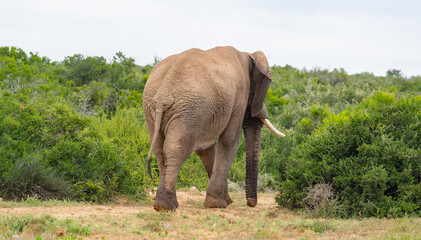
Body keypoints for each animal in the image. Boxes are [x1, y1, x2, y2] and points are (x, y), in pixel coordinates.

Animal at [143, 46, 284, 211]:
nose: (251, 203)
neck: (247, 54)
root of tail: (163, 95)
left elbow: (206, 149)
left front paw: (226, 201)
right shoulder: (240, 95)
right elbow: (230, 140)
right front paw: (218, 204)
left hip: (154, 110)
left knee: (160, 151)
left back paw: (162, 205)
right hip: (190, 109)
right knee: (176, 149)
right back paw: (167, 206)